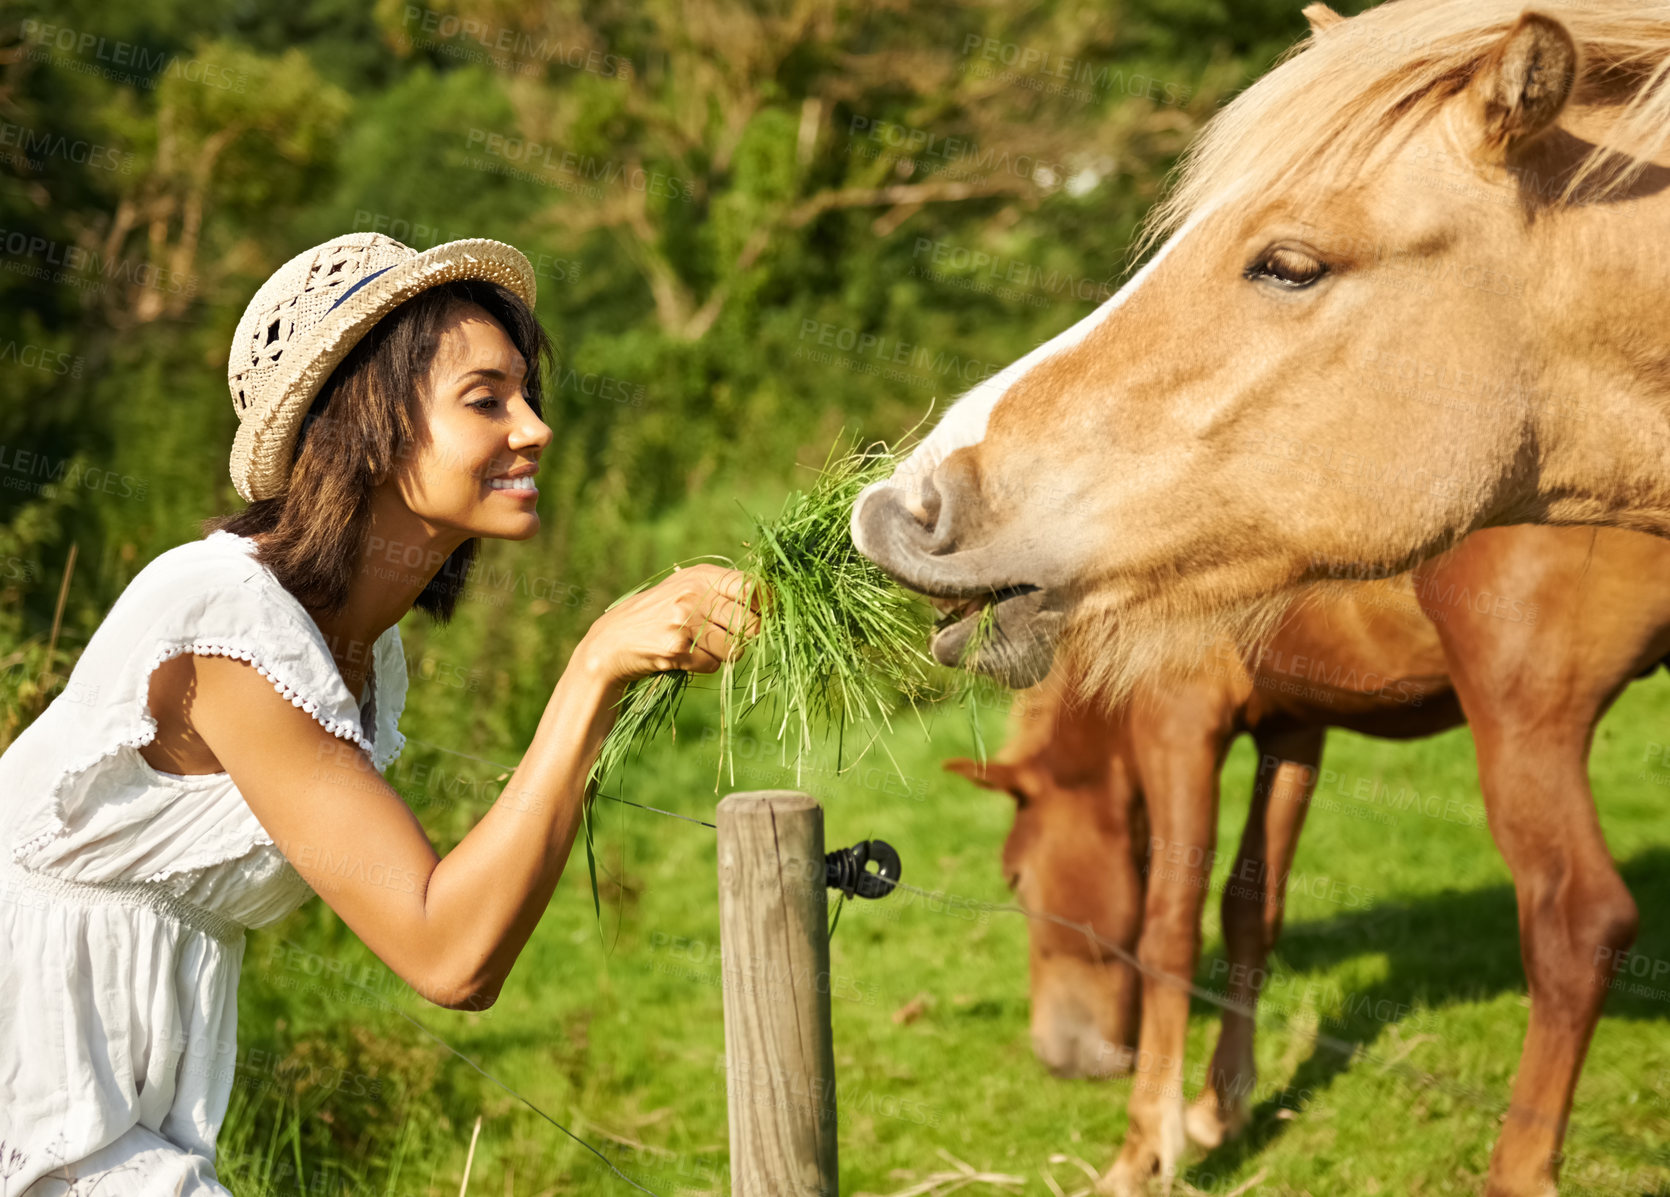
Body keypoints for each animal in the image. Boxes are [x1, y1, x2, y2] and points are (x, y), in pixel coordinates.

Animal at [948, 524, 1663, 1195]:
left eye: (1014, 877)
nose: (1058, 1058)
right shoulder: (1292, 726)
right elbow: (1249, 910)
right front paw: (1221, 1105)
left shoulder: (1175, 716)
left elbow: (1170, 931)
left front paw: (1145, 1148)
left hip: (1525, 725)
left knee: (1580, 923)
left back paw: (1517, 1172)